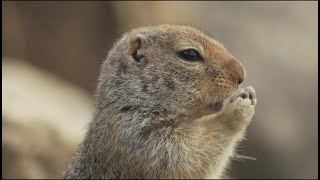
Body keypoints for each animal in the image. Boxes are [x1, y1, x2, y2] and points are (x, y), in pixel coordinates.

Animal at [63, 24, 258, 179]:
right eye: (190, 54)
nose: (241, 75)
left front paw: (248, 93)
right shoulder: (146, 141)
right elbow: (194, 156)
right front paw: (237, 109)